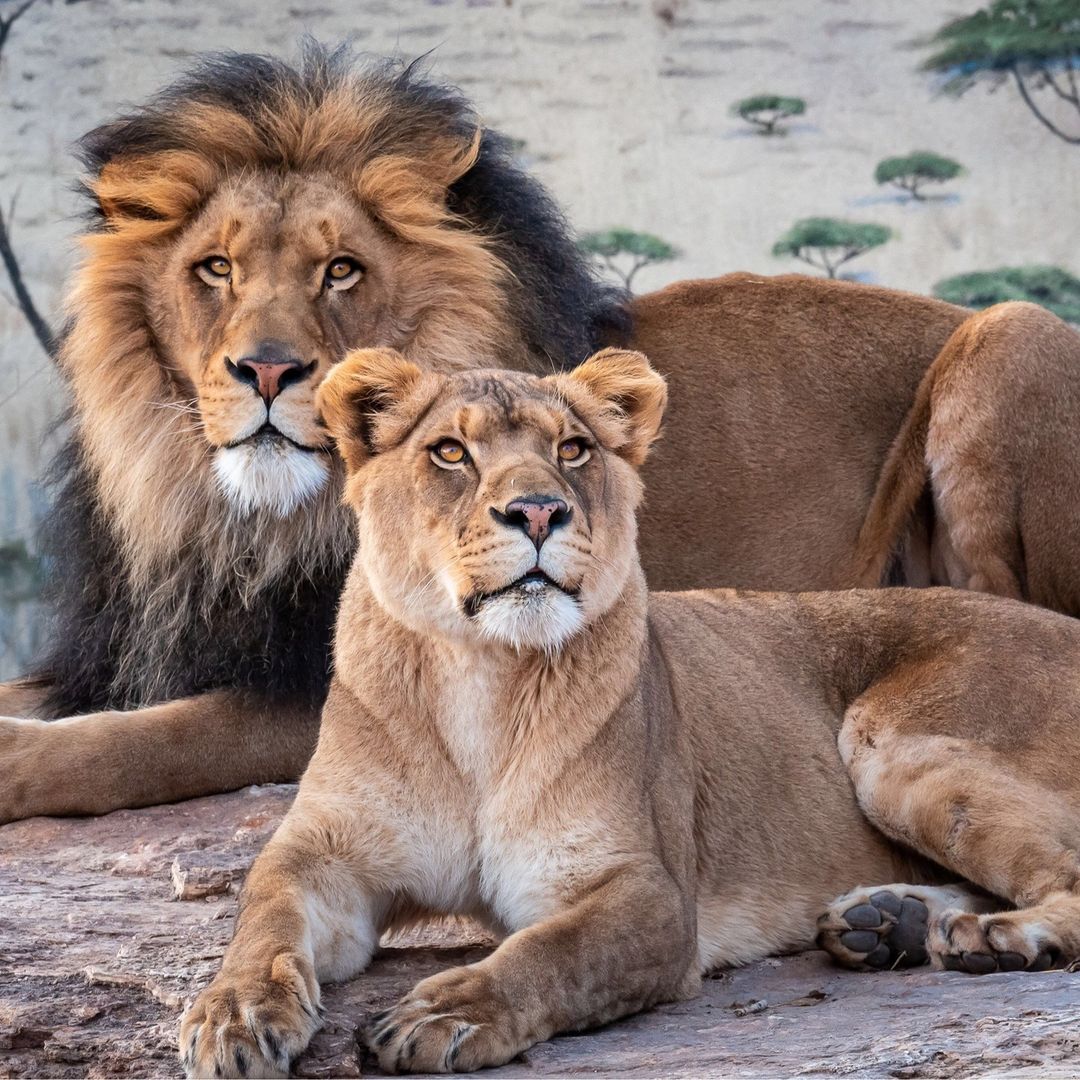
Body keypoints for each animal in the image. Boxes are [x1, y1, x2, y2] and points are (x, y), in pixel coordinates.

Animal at [2, 44, 1080, 823]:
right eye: (216, 269)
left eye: (341, 271)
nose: (267, 371)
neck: (234, 520)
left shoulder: (344, 687)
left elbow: (153, 736)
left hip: (1011, 335)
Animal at [180, 348, 1080, 1077]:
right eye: (451, 452)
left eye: (571, 449)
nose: (538, 511)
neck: (480, 675)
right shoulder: (326, 855)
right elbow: (263, 916)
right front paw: (233, 1015)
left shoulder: (647, 891)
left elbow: (547, 953)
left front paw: (449, 1011)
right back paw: (888, 923)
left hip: (890, 744)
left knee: (1066, 872)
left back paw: (990, 939)